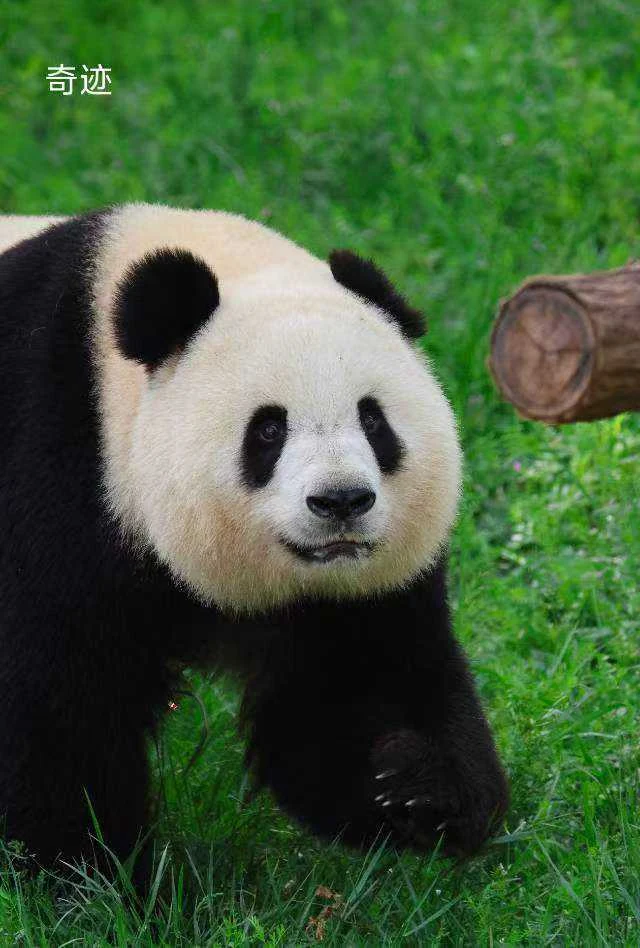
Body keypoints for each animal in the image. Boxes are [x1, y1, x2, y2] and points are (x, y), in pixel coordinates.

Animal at [0, 204, 508, 881]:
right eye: (268, 429)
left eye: (374, 420)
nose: (342, 501)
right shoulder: (51, 458)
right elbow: (59, 699)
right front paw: (95, 872)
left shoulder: (348, 594)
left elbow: (353, 683)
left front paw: (415, 788)